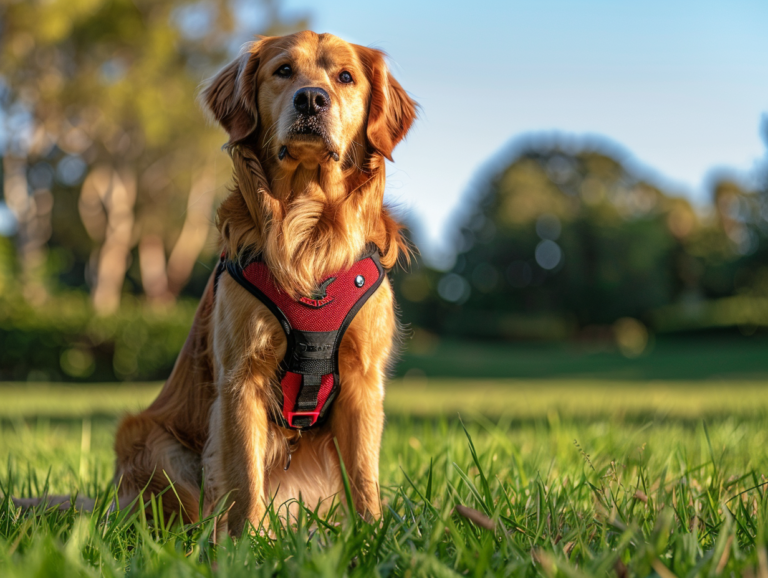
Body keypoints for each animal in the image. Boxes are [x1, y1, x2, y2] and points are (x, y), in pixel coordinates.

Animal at [111, 30, 416, 536]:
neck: (307, 227)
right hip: (150, 442)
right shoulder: (242, 376)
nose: (311, 99)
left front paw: (373, 537)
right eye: (283, 71)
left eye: (345, 77)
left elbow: (363, 476)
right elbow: (244, 479)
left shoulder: (362, 379)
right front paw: (247, 543)